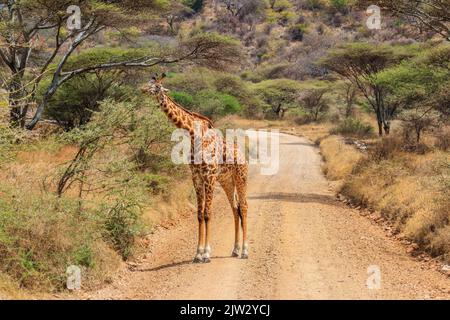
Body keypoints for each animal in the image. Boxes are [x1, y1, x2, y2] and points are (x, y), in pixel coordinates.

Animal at [140, 74, 250, 262]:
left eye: (157, 87)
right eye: (149, 83)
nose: (142, 89)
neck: (193, 134)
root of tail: (243, 156)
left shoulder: (209, 176)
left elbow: (207, 213)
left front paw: (206, 253)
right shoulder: (197, 177)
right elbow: (199, 214)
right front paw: (198, 253)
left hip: (241, 178)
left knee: (243, 207)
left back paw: (244, 251)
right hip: (227, 181)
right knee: (235, 209)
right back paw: (235, 249)